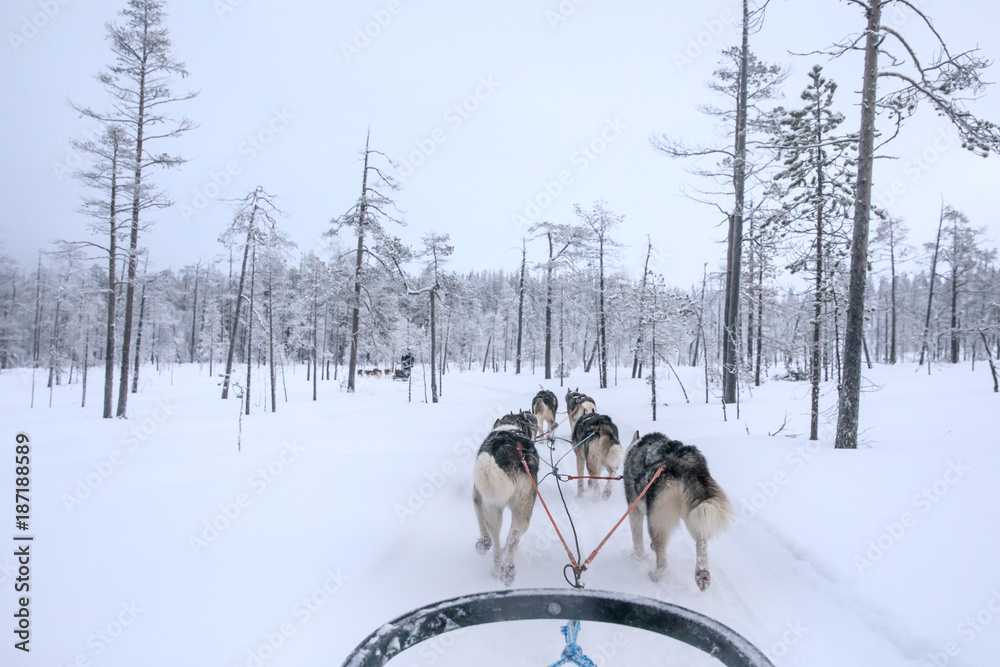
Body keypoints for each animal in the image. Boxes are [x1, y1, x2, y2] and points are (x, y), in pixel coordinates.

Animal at [470, 422, 540, 584]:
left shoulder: (477, 495)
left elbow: (479, 519)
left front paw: (483, 544)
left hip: (494, 507)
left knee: (497, 539)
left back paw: (499, 569)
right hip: (522, 510)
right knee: (512, 537)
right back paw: (506, 570)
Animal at [624, 434, 736, 588]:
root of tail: (686, 464)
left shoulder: (634, 508)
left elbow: (637, 539)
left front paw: (637, 557)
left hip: (657, 521)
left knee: (663, 563)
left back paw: (655, 576)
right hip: (695, 515)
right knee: (701, 542)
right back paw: (702, 575)